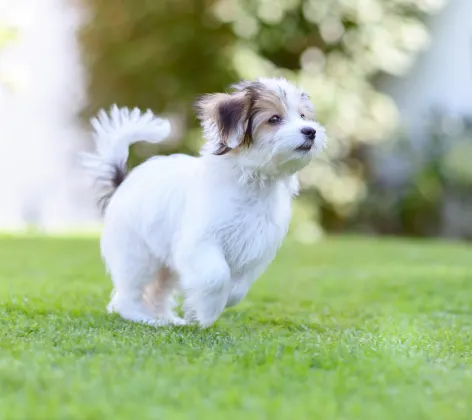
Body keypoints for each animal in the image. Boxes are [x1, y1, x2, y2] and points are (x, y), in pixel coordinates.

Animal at [81, 77, 326, 326]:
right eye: (274, 119)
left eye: (303, 116)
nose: (311, 131)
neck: (253, 179)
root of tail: (123, 183)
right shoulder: (200, 241)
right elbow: (216, 275)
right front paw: (208, 311)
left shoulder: (255, 247)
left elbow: (239, 288)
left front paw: (204, 306)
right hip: (137, 255)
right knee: (128, 294)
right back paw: (144, 318)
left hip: (165, 264)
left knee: (158, 291)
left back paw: (168, 319)